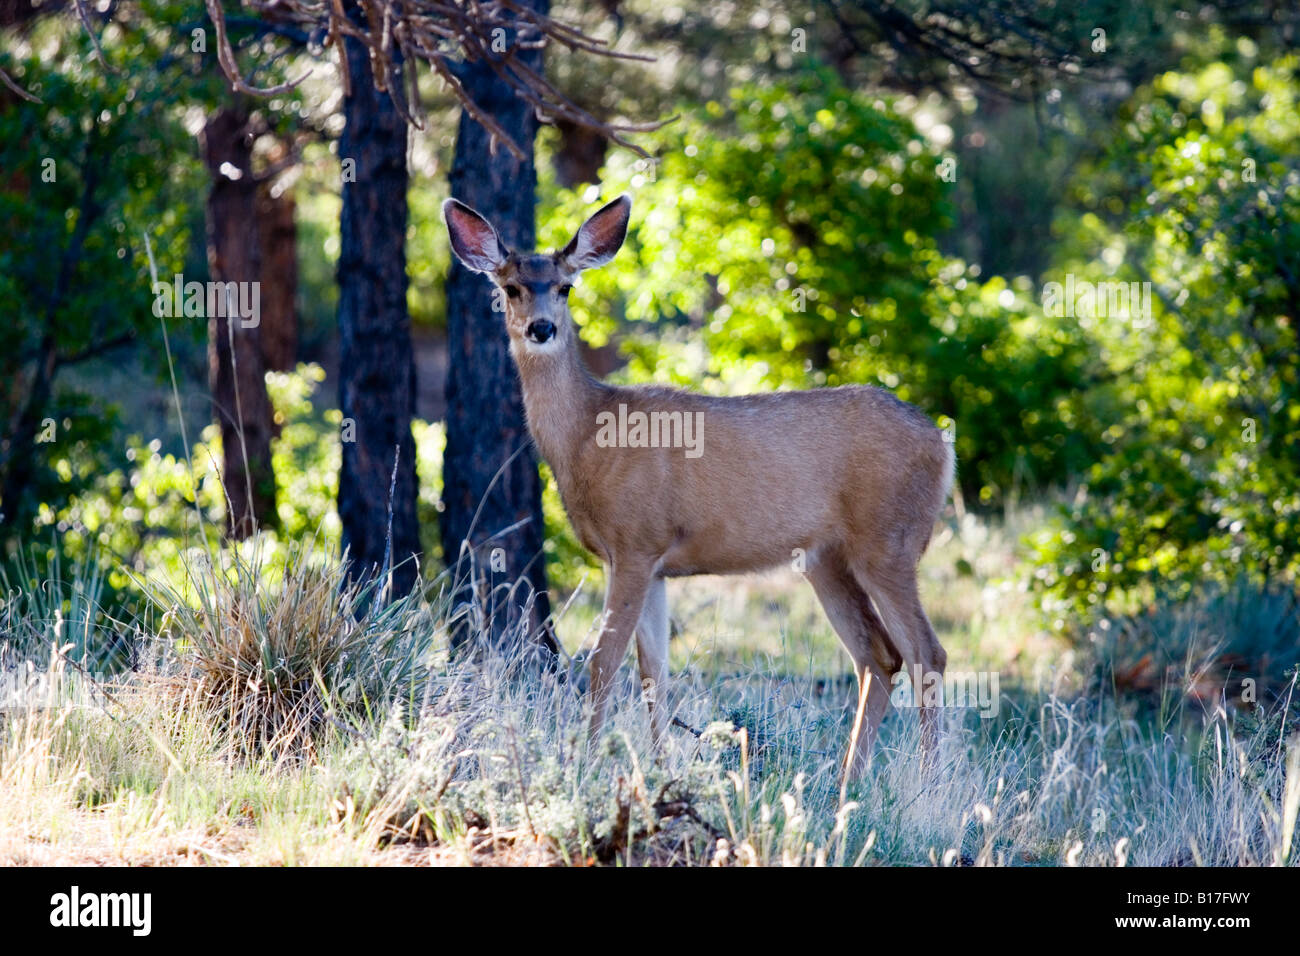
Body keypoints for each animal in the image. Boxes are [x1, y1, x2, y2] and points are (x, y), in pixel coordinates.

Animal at [443, 192, 955, 780]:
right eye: (511, 287)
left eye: (566, 286)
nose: (542, 329)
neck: (588, 438)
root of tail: (944, 444)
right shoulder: (649, 562)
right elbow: (653, 672)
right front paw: (659, 769)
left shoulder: (636, 540)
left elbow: (603, 660)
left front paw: (585, 765)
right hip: (827, 558)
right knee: (878, 654)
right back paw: (850, 779)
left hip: (888, 539)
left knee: (927, 653)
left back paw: (926, 785)